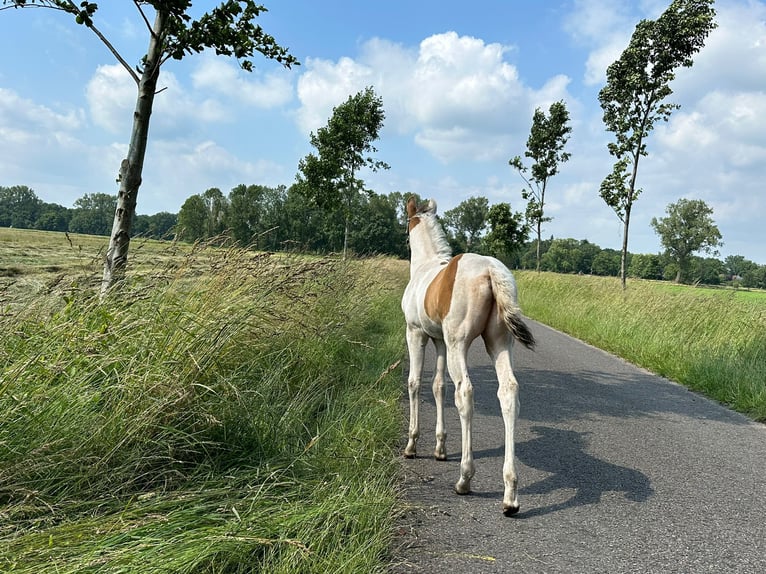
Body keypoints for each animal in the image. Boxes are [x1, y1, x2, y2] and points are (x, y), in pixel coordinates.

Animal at [402, 197, 536, 516]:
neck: (424, 267)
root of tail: (490, 270)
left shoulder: (416, 333)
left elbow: (415, 383)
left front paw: (412, 445)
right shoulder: (439, 340)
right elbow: (438, 386)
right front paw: (439, 449)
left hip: (458, 342)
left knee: (465, 392)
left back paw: (465, 478)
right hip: (498, 342)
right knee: (509, 391)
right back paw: (510, 495)